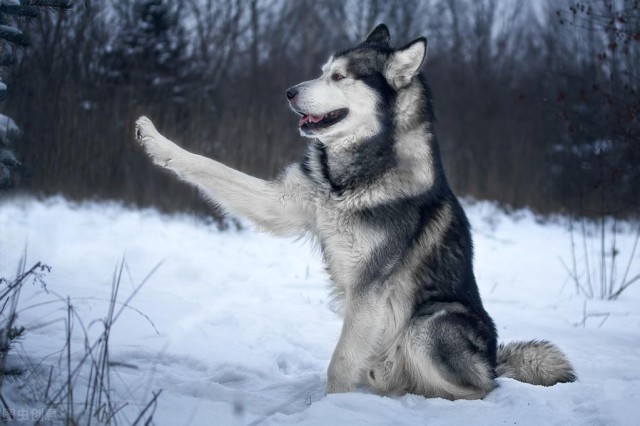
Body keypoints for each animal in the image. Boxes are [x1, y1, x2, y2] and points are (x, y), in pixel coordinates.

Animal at [134, 24, 576, 400]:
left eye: (340, 77)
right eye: (322, 72)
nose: (289, 92)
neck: (350, 179)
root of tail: (493, 362)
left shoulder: (370, 289)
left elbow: (340, 363)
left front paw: (331, 408)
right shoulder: (285, 204)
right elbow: (208, 165)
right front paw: (155, 141)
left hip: (428, 325)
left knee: (477, 388)